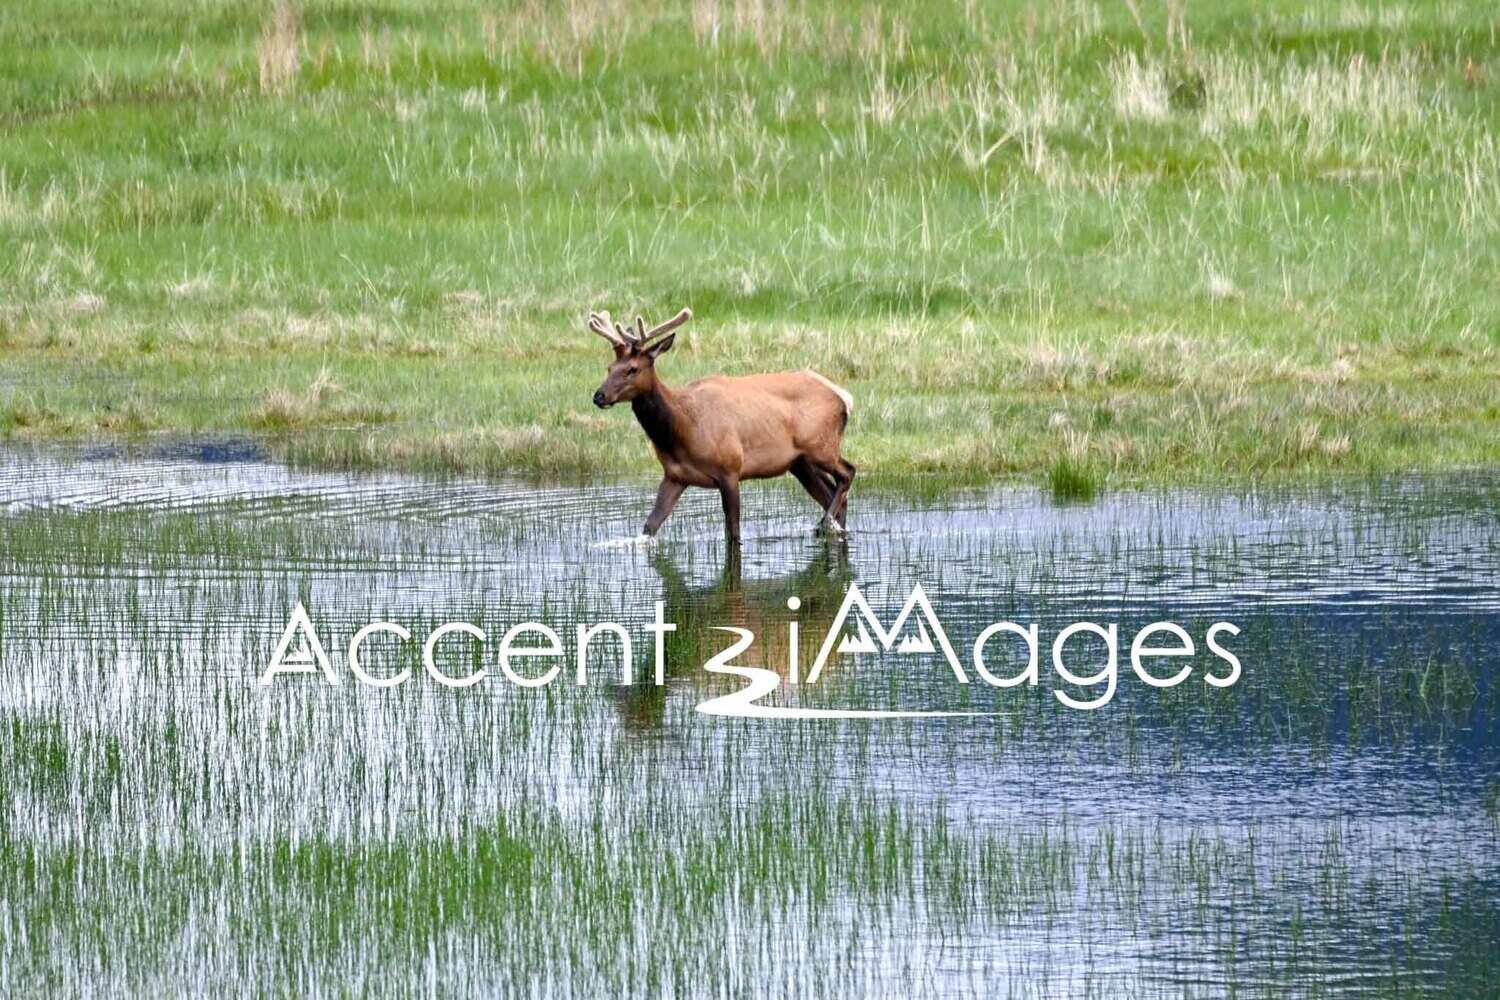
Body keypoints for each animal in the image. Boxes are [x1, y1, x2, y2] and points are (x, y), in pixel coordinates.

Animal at [588, 307, 856, 545]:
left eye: (632, 369)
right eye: (610, 368)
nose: (599, 396)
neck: (682, 431)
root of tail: (843, 398)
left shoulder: (730, 468)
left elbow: (733, 533)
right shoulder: (674, 476)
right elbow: (649, 526)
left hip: (821, 446)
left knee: (848, 472)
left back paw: (824, 523)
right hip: (799, 462)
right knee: (834, 494)